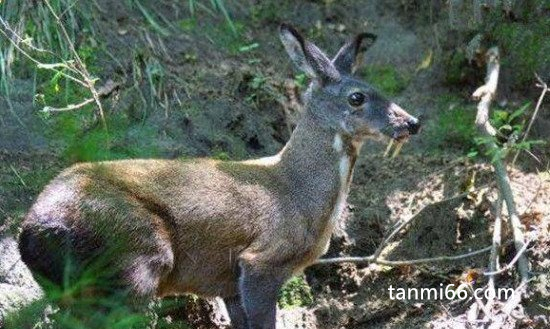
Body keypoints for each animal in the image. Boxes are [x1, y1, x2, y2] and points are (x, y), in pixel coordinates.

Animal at [18, 24, 422, 326]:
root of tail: (32, 230)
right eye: (357, 97)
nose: (412, 123)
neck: (300, 195)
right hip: (135, 252)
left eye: (381, 89)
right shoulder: (262, 260)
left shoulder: (227, 281)